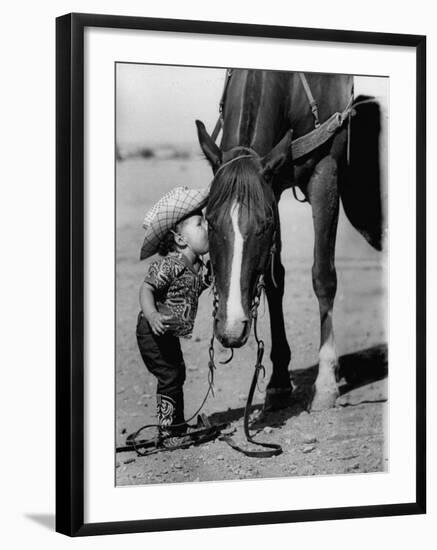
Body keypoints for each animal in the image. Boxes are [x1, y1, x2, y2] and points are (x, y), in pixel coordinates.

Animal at [194, 69, 382, 412]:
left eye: (264, 224)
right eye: (209, 220)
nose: (231, 327)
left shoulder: (325, 172)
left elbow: (323, 277)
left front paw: (325, 384)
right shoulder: (274, 184)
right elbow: (274, 280)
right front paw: (279, 381)